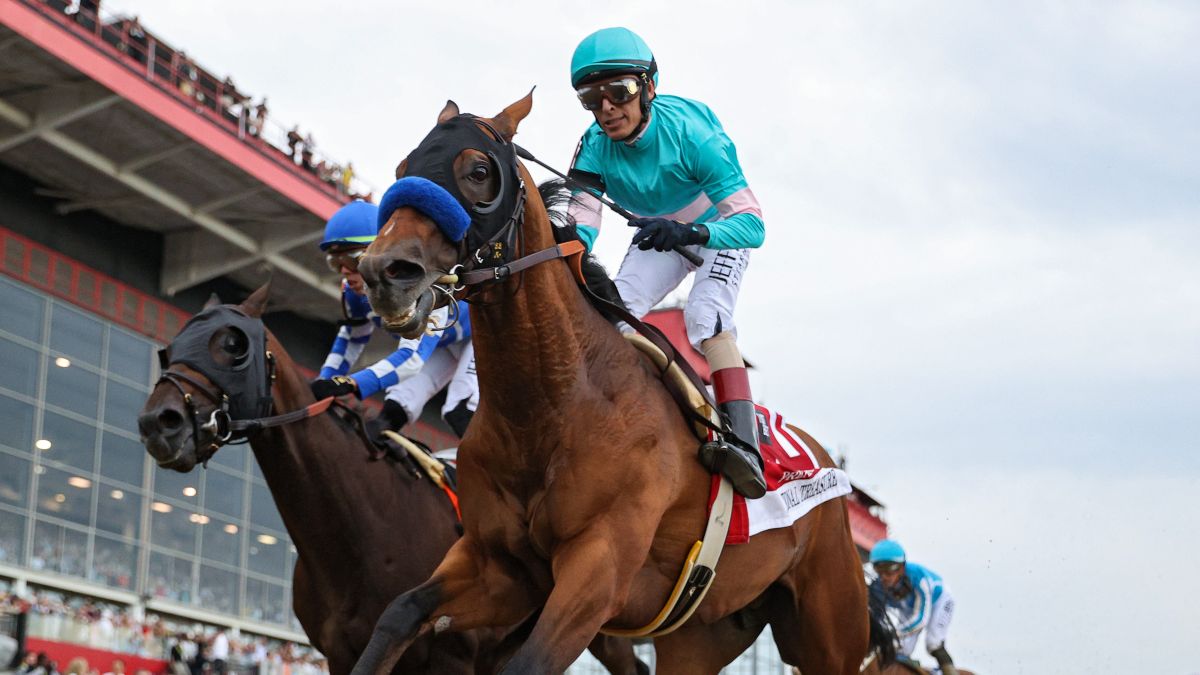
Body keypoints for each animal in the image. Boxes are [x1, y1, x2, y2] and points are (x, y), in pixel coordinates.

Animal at [136, 288, 648, 672]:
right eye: (170, 349)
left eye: (232, 345)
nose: (159, 423)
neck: (358, 531)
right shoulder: (343, 654)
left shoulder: (451, 657)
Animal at [350, 93, 878, 672]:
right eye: (404, 168)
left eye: (478, 171)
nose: (382, 272)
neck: (553, 406)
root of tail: (826, 462)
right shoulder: (500, 566)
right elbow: (399, 612)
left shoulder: (598, 570)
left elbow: (527, 662)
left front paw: (672, 233)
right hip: (699, 635)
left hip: (830, 630)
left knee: (710, 315)